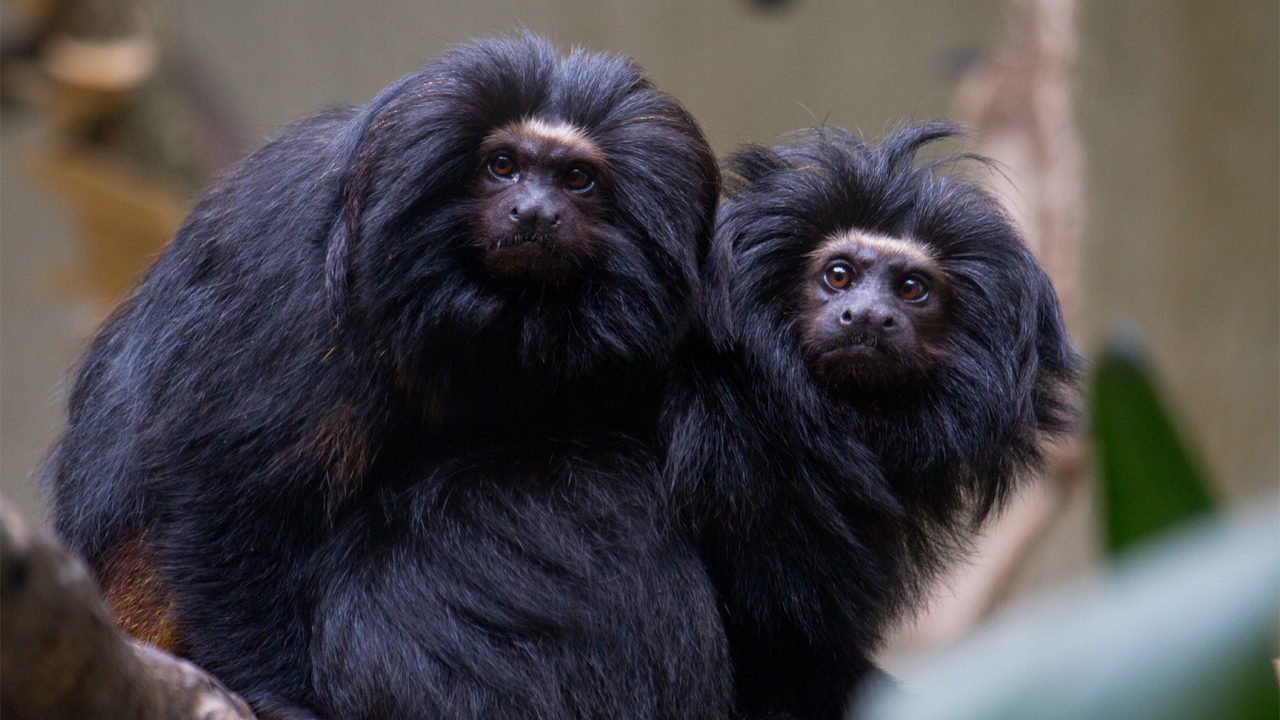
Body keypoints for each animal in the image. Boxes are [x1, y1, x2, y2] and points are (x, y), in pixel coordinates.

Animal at [42, 35, 732, 717]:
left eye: (577, 179)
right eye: (502, 166)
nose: (535, 212)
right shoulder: (293, 297)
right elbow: (220, 486)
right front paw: (275, 691)